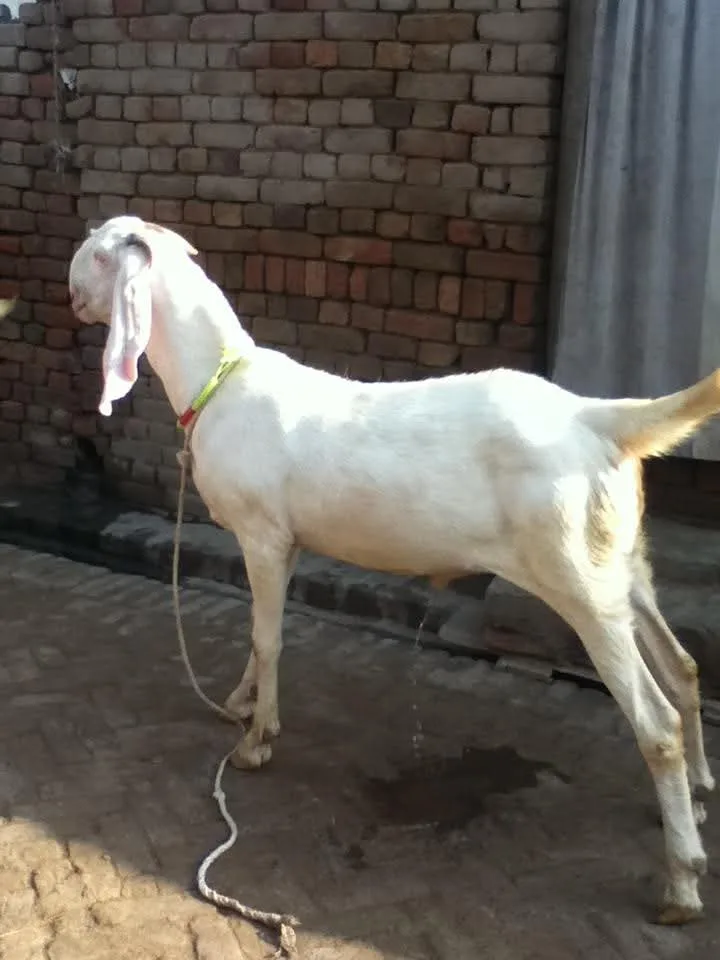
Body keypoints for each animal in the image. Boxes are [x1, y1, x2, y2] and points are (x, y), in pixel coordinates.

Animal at [69, 215, 717, 925]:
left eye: (99, 256)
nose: (71, 295)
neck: (218, 381)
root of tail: (596, 417)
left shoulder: (261, 533)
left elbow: (268, 638)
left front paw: (255, 742)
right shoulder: (287, 541)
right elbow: (261, 635)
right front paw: (242, 704)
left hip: (576, 575)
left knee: (656, 723)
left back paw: (682, 885)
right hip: (619, 559)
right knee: (684, 667)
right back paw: (700, 795)